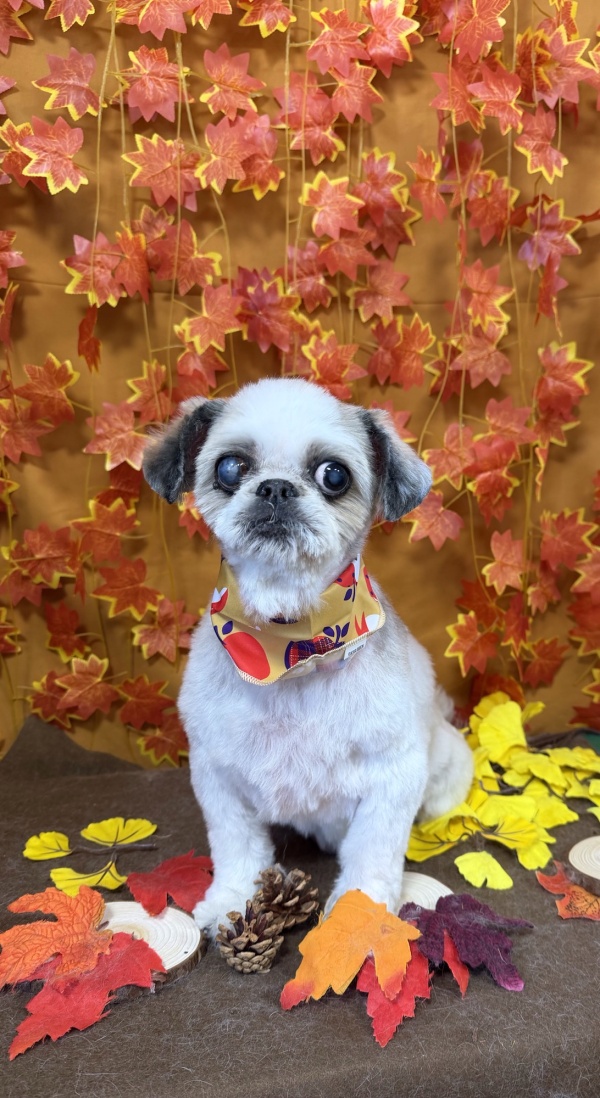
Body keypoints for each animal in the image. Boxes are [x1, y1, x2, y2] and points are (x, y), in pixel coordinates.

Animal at [143, 377, 474, 936]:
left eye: (333, 475)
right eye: (230, 467)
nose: (275, 488)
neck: (290, 643)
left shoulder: (392, 778)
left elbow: (372, 852)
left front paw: (359, 917)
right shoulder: (219, 774)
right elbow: (236, 846)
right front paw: (231, 899)